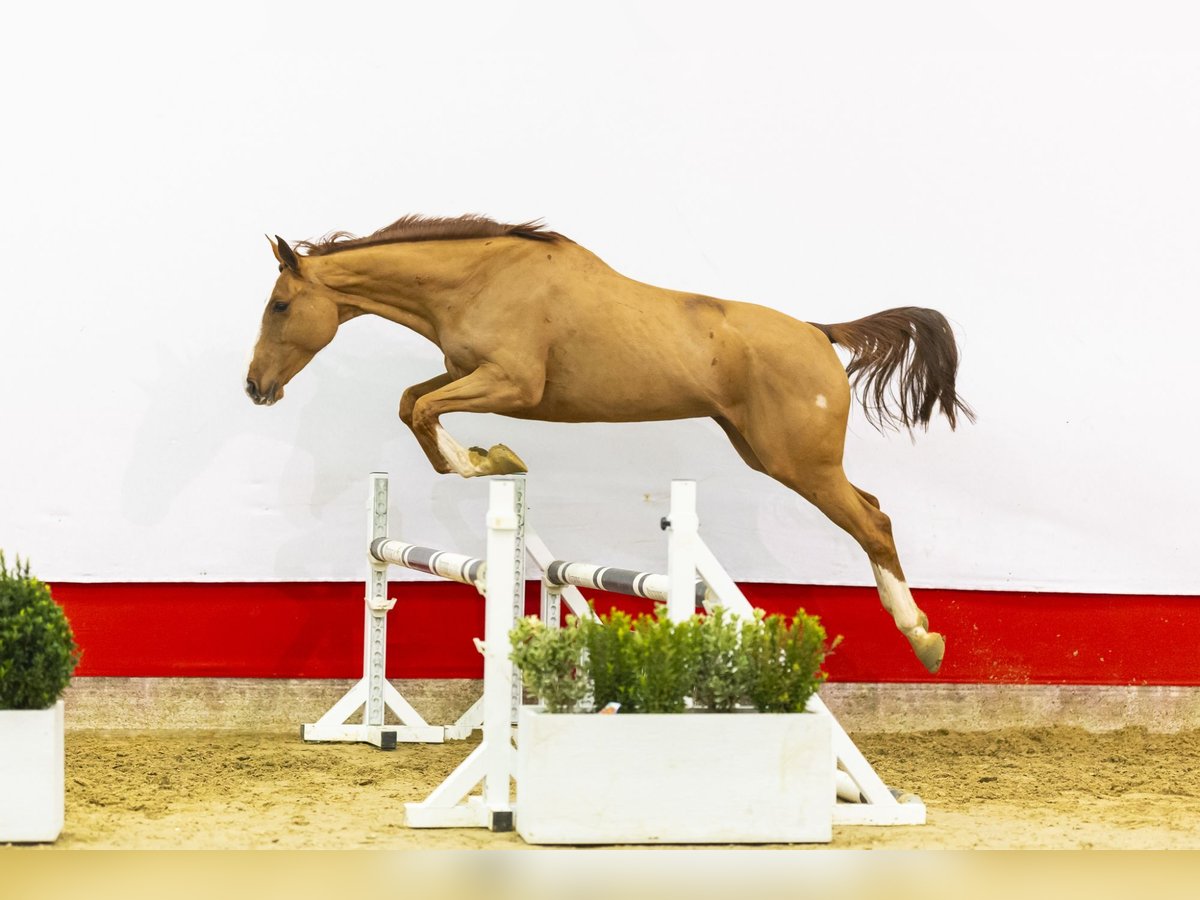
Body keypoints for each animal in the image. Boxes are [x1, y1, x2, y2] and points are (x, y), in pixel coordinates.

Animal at [246, 214, 974, 672]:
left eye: (280, 305)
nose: (255, 387)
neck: (478, 280)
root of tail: (820, 333)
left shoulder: (512, 385)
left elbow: (421, 407)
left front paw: (481, 461)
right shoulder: (470, 375)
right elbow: (410, 402)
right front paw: (487, 460)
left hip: (799, 462)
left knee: (873, 523)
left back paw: (923, 637)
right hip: (769, 452)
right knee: (872, 507)